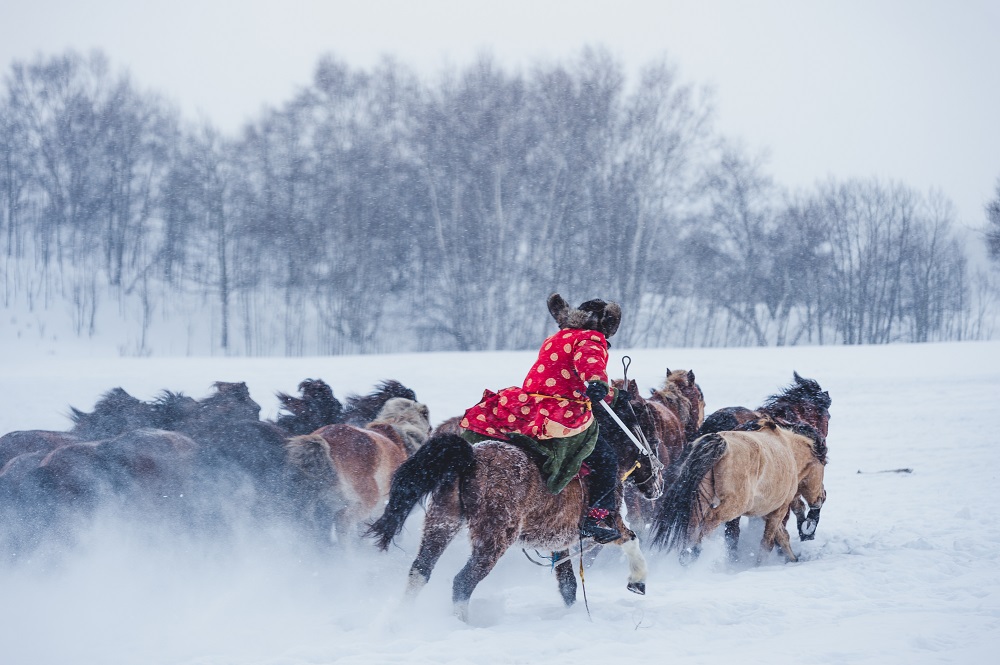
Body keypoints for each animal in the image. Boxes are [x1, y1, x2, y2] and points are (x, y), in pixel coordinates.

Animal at [364, 392, 660, 620]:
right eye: (654, 438)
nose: (658, 486)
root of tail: (471, 458)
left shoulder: (559, 539)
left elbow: (568, 584)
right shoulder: (609, 522)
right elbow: (631, 539)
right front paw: (638, 580)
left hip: (442, 522)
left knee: (420, 571)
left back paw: (401, 618)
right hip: (495, 538)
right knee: (462, 582)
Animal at [648, 416, 828, 564]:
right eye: (823, 464)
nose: (823, 496)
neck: (789, 449)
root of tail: (721, 443)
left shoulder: (766, 512)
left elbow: (782, 537)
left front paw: (792, 558)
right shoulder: (779, 510)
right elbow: (768, 543)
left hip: (703, 499)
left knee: (693, 523)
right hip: (732, 507)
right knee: (709, 522)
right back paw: (694, 553)